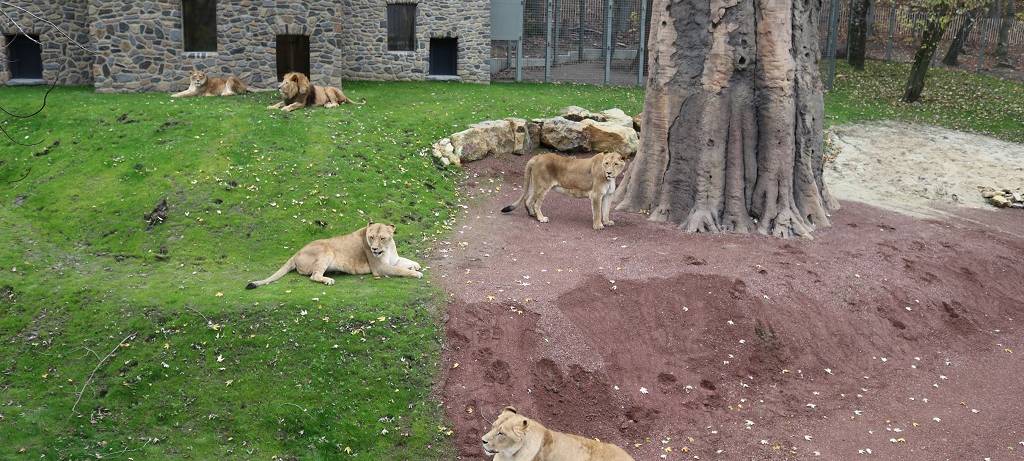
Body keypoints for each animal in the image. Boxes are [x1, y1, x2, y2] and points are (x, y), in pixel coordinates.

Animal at [245, 221, 422, 288]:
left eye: (382, 238)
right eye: (371, 237)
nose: (373, 249)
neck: (387, 248)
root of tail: (296, 253)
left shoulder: (394, 259)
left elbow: (404, 261)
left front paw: (416, 265)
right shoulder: (380, 268)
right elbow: (401, 270)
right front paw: (416, 273)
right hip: (326, 250)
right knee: (314, 276)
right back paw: (328, 279)